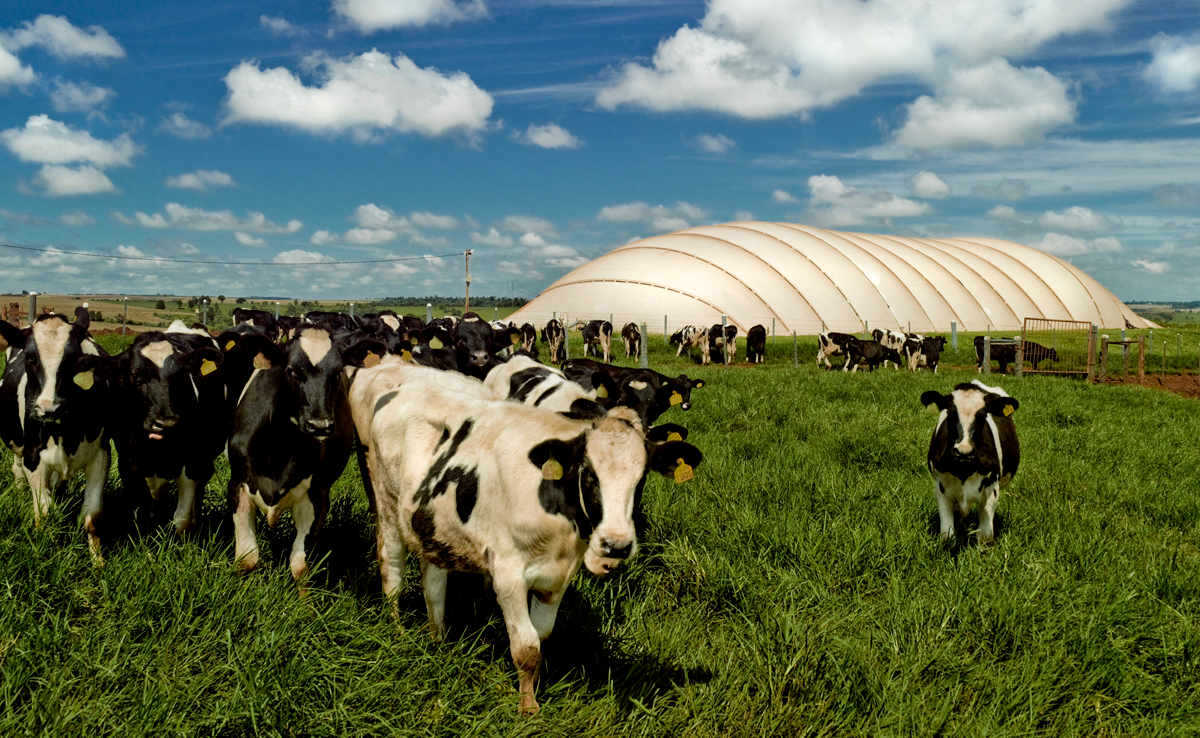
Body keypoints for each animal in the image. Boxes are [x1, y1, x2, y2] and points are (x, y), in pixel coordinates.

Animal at [0, 309, 111, 564]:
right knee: (17, 467)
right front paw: (43, 552)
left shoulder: (101, 456)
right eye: (31, 357)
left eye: (73, 358)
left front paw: (98, 562)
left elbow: (92, 515)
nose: (48, 408)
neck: (65, 431)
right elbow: (44, 512)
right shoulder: (33, 458)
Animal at [111, 321, 228, 530]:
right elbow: (140, 512)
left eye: (180, 376)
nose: (167, 422)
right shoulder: (127, 461)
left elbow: (181, 519)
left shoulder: (193, 461)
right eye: (137, 376)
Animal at [228, 328, 384, 583]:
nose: (320, 426)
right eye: (292, 370)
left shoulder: (314, 495)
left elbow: (300, 567)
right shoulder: (237, 485)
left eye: (337, 372)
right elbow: (246, 560)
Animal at [355, 379, 700, 715]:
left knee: (434, 587)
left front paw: (532, 690)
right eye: (589, 474)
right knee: (392, 572)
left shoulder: (557, 578)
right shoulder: (507, 574)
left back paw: (438, 641)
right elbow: (526, 647)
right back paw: (396, 632)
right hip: (386, 505)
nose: (616, 545)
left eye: (641, 477)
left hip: (433, 524)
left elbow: (542, 636)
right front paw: (528, 708)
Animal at [916, 384, 1022, 544]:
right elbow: (947, 536)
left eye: (983, 416)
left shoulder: (991, 488)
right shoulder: (941, 489)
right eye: (950, 413)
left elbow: (985, 536)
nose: (963, 452)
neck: (963, 471)